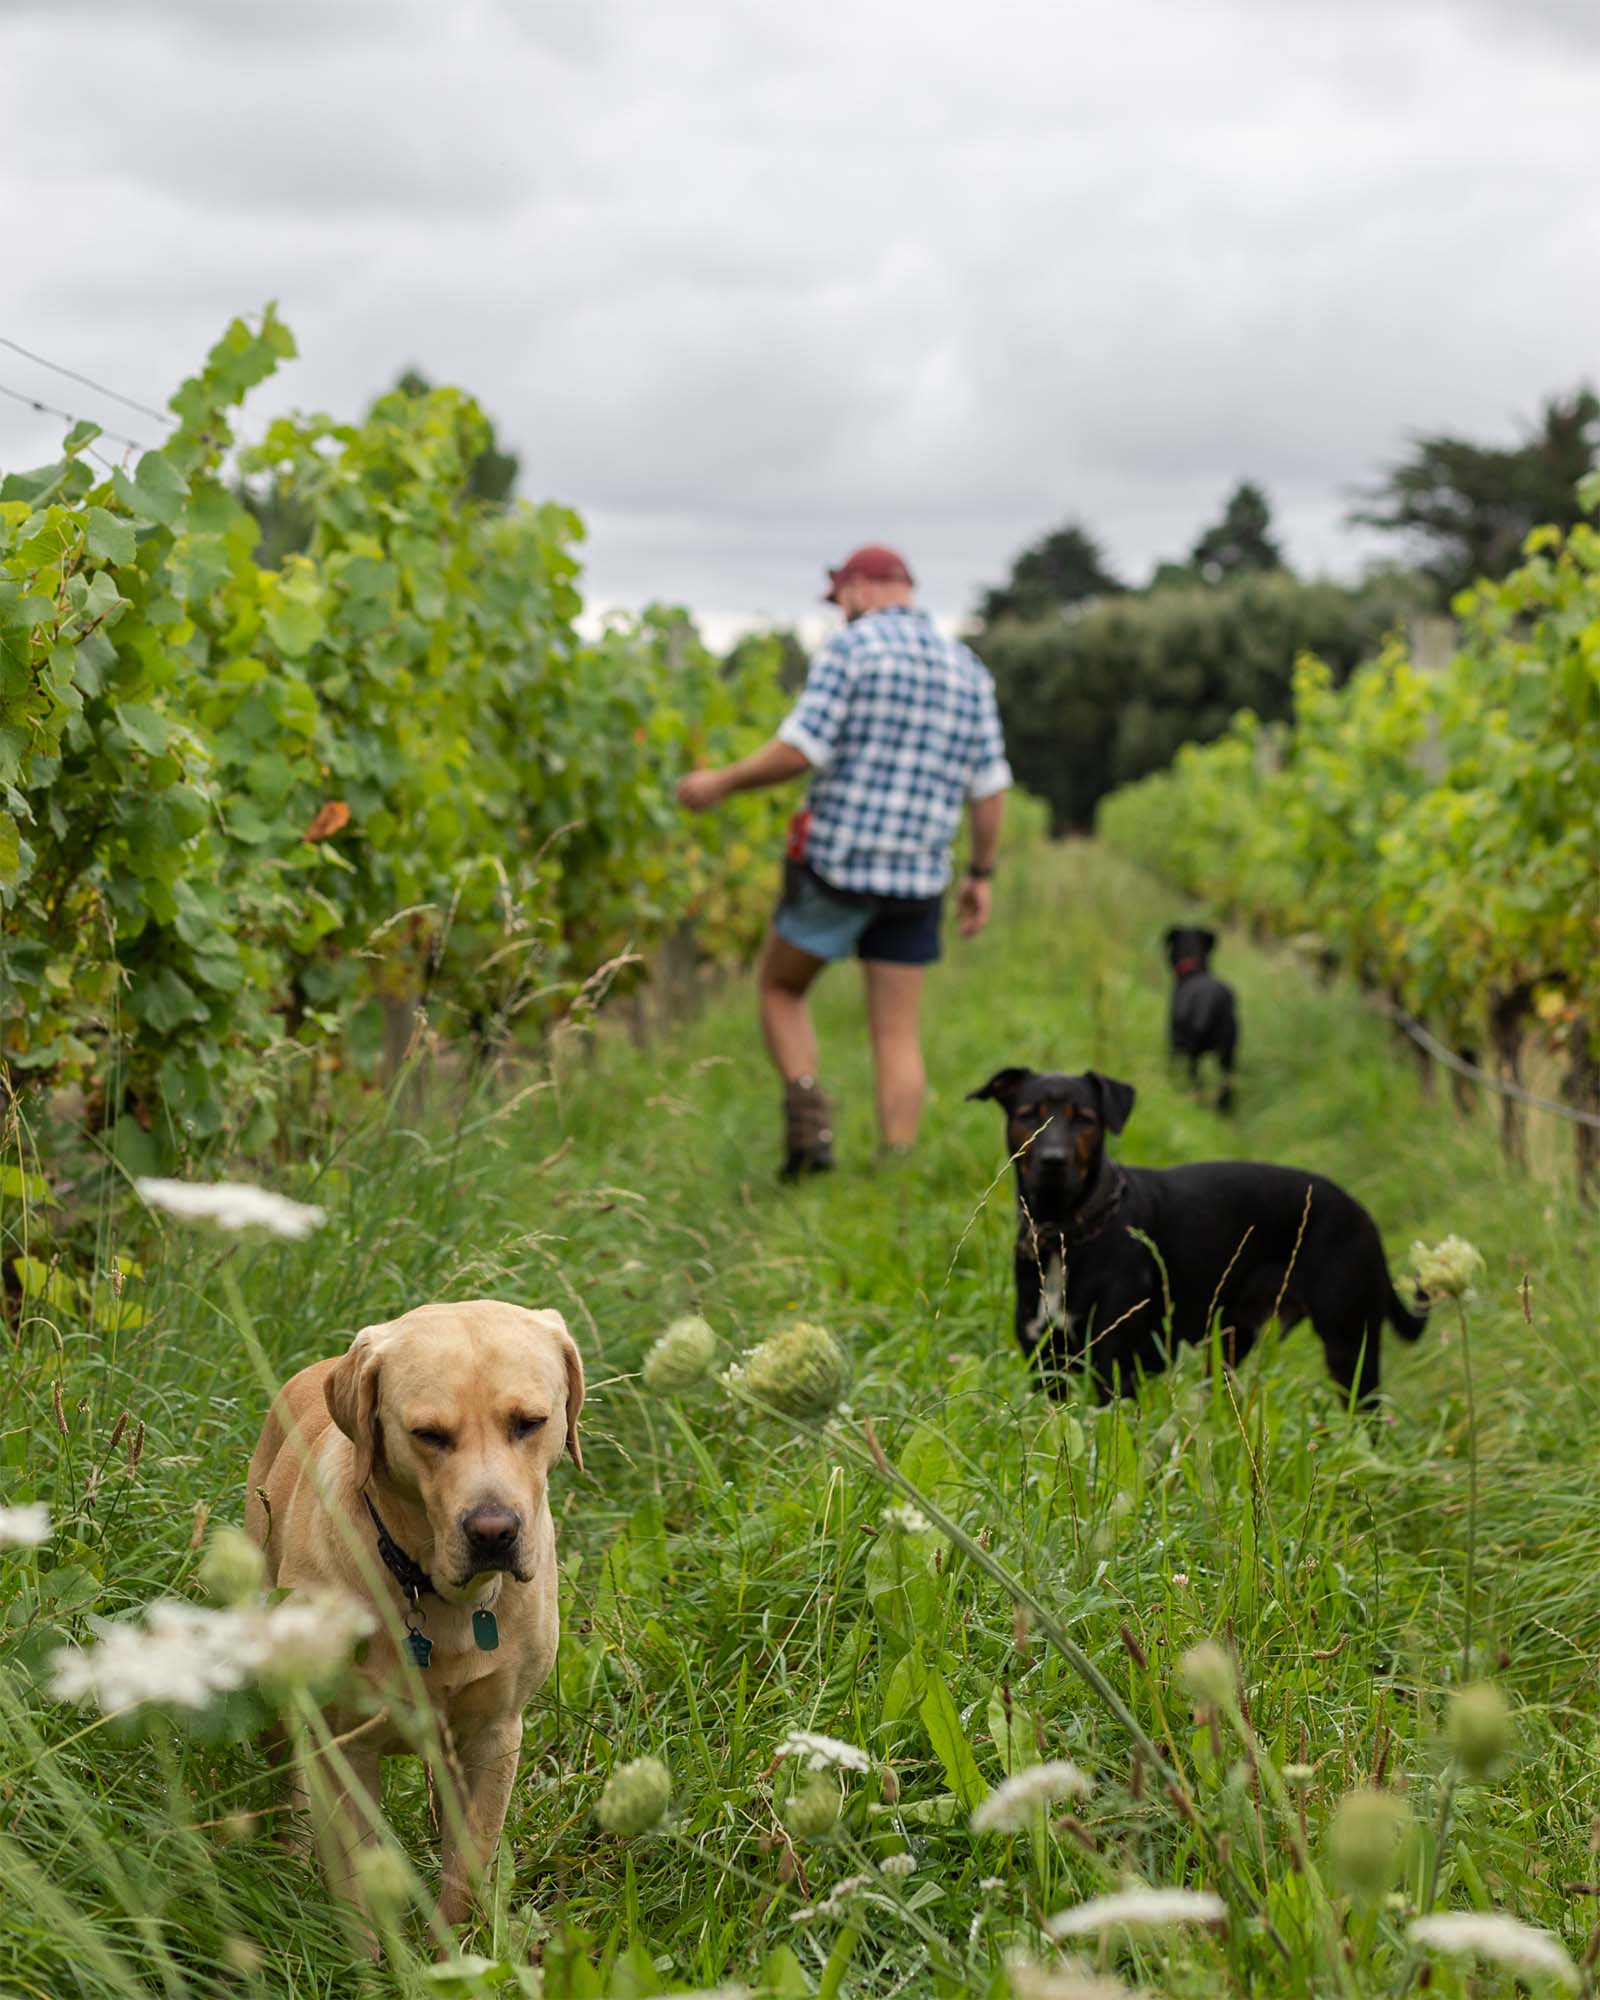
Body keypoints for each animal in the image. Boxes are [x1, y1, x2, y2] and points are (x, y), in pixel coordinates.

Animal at [964, 1064, 1424, 1408]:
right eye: (1028, 1114)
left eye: (1086, 1120)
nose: (1053, 1160)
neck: (1067, 1232)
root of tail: (1362, 1213)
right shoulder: (1045, 1367)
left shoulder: (1115, 1368)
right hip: (1233, 1340)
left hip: (1351, 1348)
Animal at [1160, 924, 1240, 1112]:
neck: (1193, 971)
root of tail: (1213, 1000)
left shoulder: (1173, 1041)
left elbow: (1170, 1065)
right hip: (1228, 1052)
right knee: (1226, 1083)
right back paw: (1222, 1110)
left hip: (1193, 1051)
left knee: (1197, 1080)